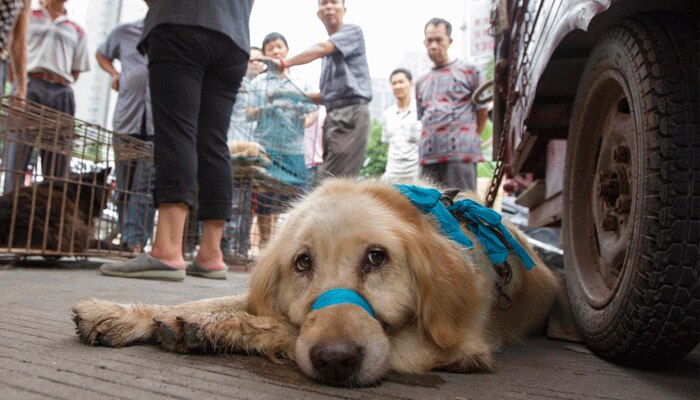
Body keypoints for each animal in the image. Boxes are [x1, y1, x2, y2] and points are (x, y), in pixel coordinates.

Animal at [74, 180, 568, 386]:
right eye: (302, 262)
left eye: (377, 257)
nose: (335, 360)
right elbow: (217, 300)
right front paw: (124, 314)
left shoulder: (457, 346)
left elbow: (285, 328)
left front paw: (209, 327)